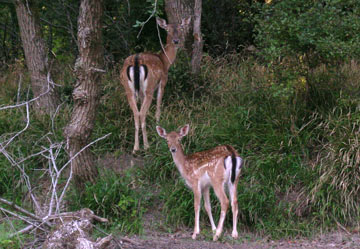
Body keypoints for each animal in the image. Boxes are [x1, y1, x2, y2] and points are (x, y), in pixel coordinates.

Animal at [120, 16, 191, 153]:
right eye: (167, 29)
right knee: (141, 113)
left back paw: (135, 148)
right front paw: (158, 124)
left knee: (136, 113)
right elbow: (158, 105)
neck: (165, 62)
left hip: (129, 90)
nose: (176, 41)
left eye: (180, 28)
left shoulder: (140, 92)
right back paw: (146, 146)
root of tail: (136, 61)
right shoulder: (162, 82)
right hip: (149, 88)